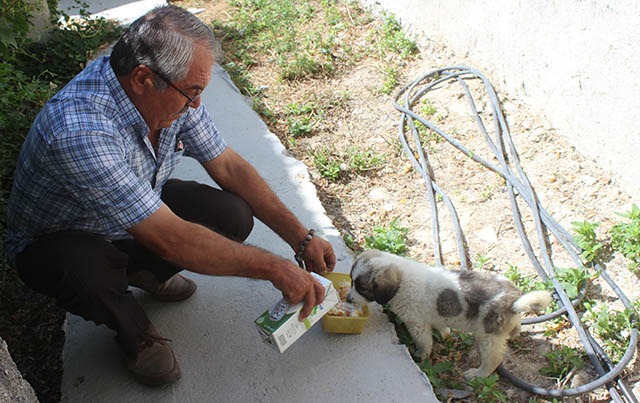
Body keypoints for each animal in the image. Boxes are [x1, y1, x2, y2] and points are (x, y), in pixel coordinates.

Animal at [348, 249, 552, 378]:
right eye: (351, 281)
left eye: (362, 288)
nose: (348, 299)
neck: (401, 282)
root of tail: (514, 300)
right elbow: (442, 325)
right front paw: (446, 335)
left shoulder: (417, 324)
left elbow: (424, 342)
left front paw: (420, 356)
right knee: (515, 326)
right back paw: (515, 333)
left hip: (488, 336)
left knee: (493, 359)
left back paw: (477, 375)